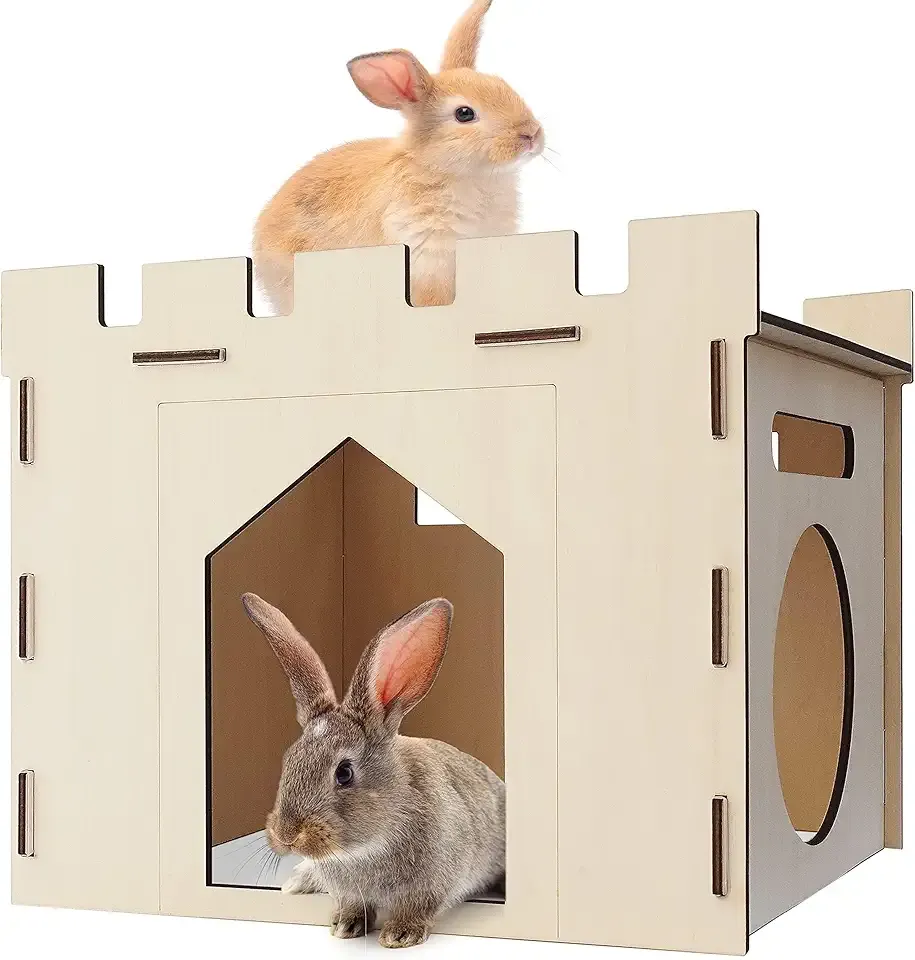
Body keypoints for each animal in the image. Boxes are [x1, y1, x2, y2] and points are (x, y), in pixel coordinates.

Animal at [241, 592, 506, 949]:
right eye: (289, 760)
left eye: (344, 772)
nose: (287, 836)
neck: (362, 849)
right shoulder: (350, 892)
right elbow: (354, 905)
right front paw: (344, 926)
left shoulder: (432, 883)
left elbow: (418, 907)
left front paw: (399, 935)